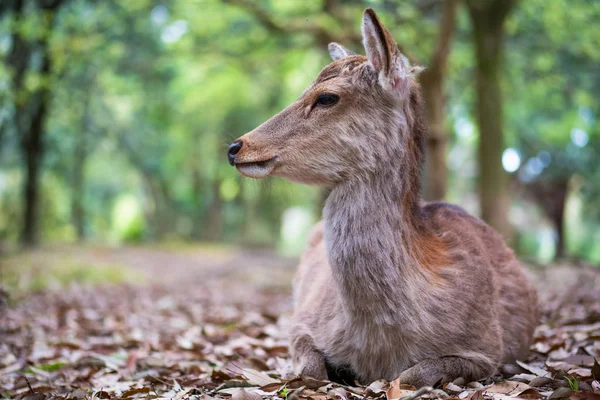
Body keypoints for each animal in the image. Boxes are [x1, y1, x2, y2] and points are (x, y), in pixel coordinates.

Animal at [226, 7, 540, 388]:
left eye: (326, 97)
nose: (236, 147)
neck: (379, 347)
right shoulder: (302, 322)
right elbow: (312, 371)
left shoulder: (487, 349)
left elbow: (411, 376)